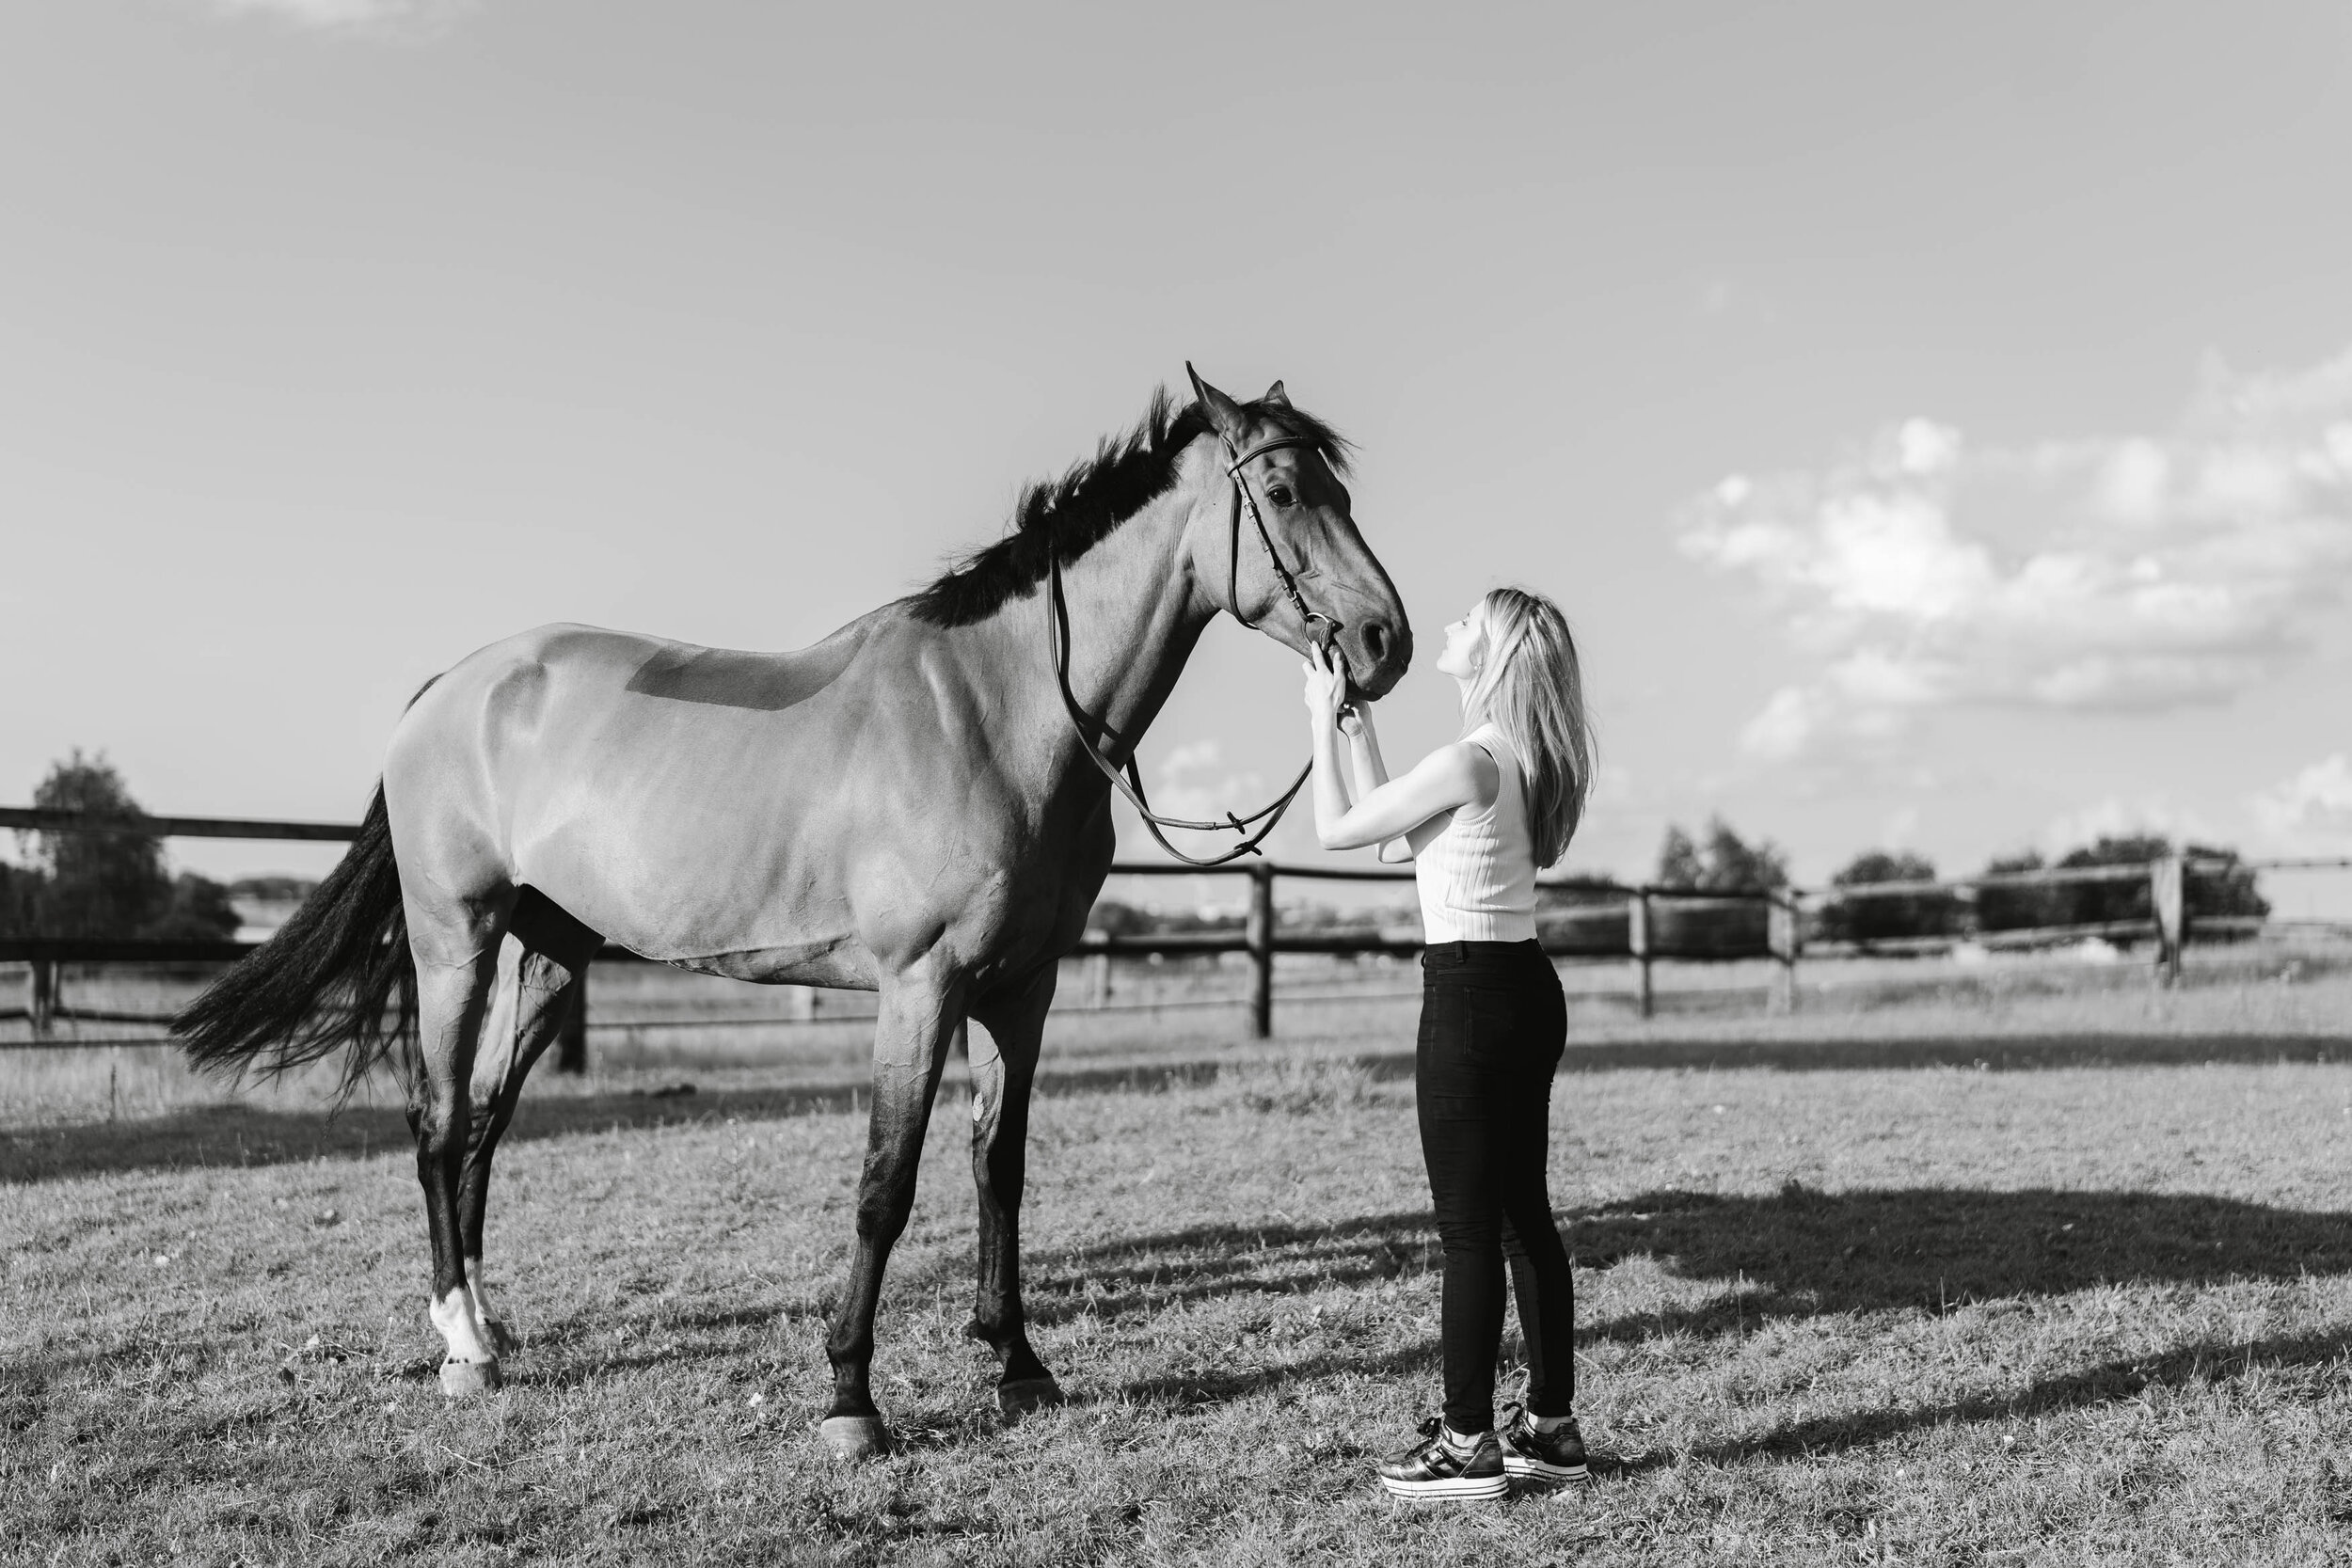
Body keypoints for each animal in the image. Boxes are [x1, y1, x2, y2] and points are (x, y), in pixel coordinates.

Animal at [179, 369, 1411, 1457]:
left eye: (1341, 489)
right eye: (1286, 490)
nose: (1384, 641)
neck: (1000, 711)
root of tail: (447, 690)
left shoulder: (1023, 988)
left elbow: (999, 1166)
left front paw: (1017, 1362)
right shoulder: (920, 986)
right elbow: (886, 1183)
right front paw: (850, 1398)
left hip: (550, 954)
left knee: (484, 1118)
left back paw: (481, 1327)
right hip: (457, 941)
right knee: (437, 1124)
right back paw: (465, 1347)